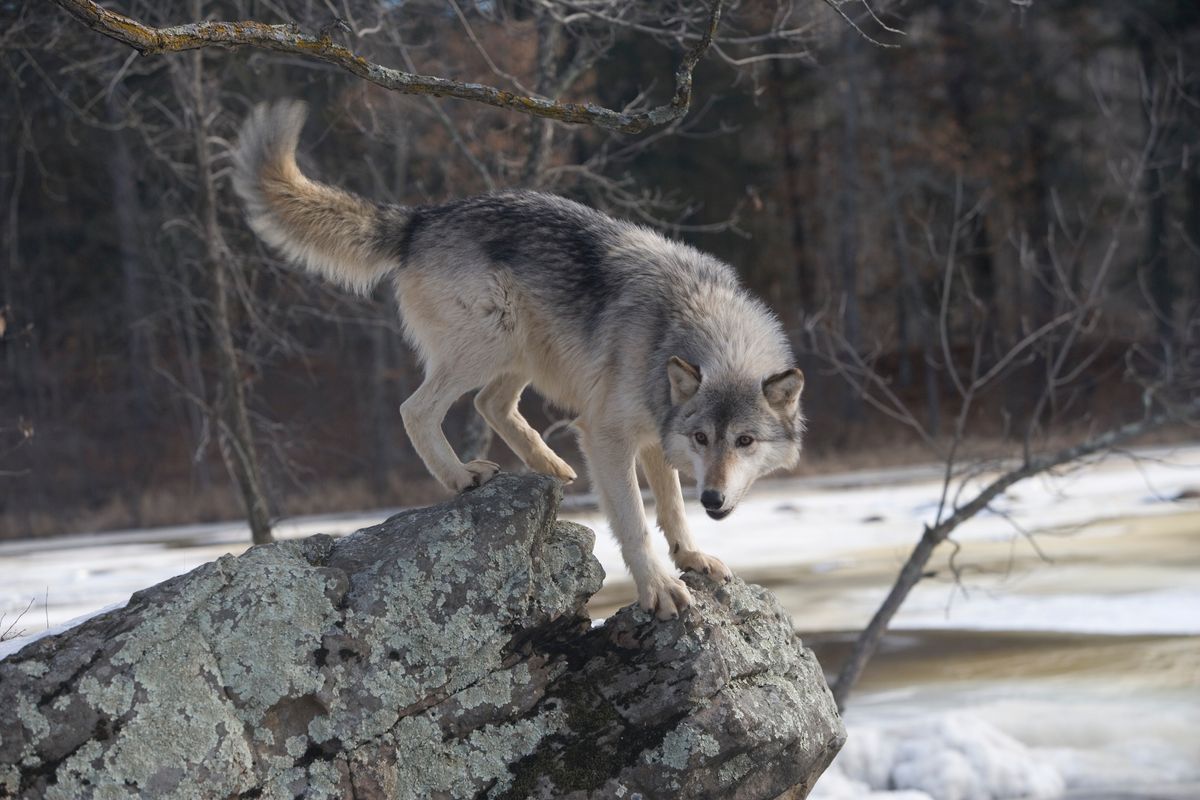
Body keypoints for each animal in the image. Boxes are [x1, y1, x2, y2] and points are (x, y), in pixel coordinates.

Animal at [231, 101, 806, 618]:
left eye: (744, 442)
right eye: (704, 438)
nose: (713, 498)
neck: (688, 321)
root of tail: (422, 218)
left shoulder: (653, 436)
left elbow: (670, 511)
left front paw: (692, 558)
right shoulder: (607, 434)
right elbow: (636, 523)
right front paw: (660, 589)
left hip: (521, 354)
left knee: (490, 405)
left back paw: (549, 465)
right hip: (492, 340)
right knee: (416, 409)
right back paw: (462, 476)